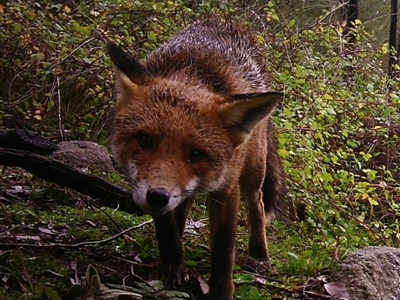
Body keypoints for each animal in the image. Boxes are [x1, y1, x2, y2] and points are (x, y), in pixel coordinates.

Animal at [108, 19, 286, 300]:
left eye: (196, 154)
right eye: (145, 140)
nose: (157, 197)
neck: (192, 75)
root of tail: (226, 23)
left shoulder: (227, 188)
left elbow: (224, 251)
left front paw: (221, 292)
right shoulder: (149, 187)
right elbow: (167, 226)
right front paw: (173, 263)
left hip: (254, 169)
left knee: (257, 203)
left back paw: (259, 253)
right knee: (184, 206)